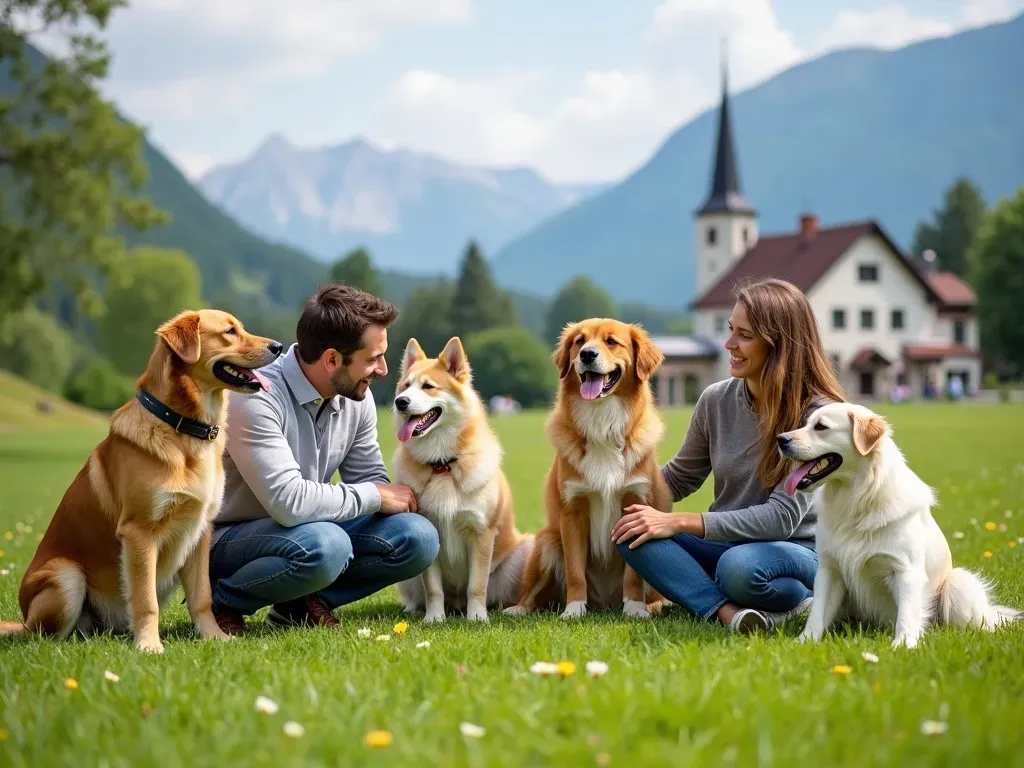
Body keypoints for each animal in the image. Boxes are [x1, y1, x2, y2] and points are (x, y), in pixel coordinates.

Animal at [0, 309, 280, 651]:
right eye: (229, 332)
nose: (279, 346)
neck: (183, 428)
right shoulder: (140, 533)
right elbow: (147, 601)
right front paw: (149, 645)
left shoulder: (200, 531)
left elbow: (201, 596)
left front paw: (214, 636)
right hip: (66, 577)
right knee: (43, 635)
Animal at [503, 319, 671, 618]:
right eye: (579, 341)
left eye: (611, 341)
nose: (587, 355)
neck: (602, 421)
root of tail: (605, 604)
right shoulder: (573, 511)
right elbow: (574, 571)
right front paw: (573, 610)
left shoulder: (635, 505)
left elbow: (632, 575)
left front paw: (635, 608)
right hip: (546, 542)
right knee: (531, 593)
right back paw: (518, 609)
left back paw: (656, 605)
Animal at [778, 403, 1019, 651]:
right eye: (805, 424)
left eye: (821, 427)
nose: (781, 439)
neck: (858, 499)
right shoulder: (830, 569)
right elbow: (817, 612)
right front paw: (805, 641)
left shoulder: (906, 570)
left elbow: (906, 613)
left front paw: (903, 645)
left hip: (959, 584)